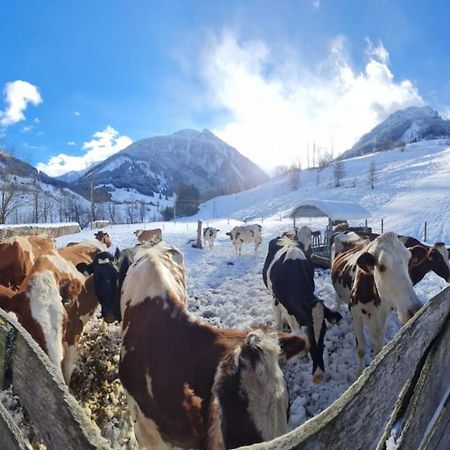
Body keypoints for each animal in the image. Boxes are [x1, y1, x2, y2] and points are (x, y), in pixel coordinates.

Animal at [332, 232, 428, 372]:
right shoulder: (356, 315)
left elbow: (378, 350)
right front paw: (359, 373)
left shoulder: (384, 317)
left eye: (409, 263)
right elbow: (361, 350)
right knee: (337, 299)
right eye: (381, 267)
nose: (415, 309)